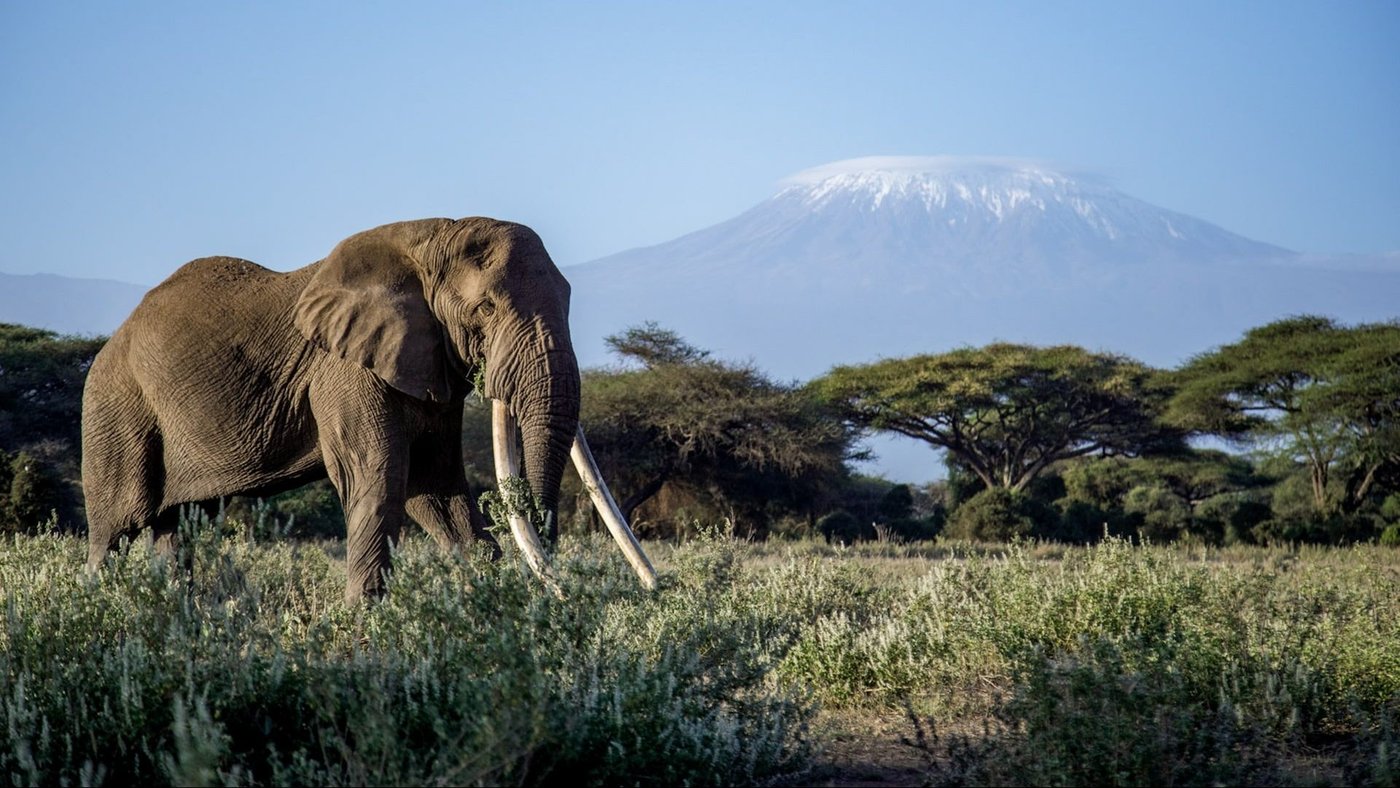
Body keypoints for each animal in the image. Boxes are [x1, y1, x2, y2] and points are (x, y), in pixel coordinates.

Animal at [82, 217, 655, 602]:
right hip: (117, 410)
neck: (428, 237)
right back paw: (98, 611)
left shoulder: (430, 360)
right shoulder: (344, 369)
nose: (658, 587)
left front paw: (492, 606)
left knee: (176, 528)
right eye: (486, 309)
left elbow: (437, 487)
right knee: (116, 527)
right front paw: (367, 627)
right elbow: (379, 478)